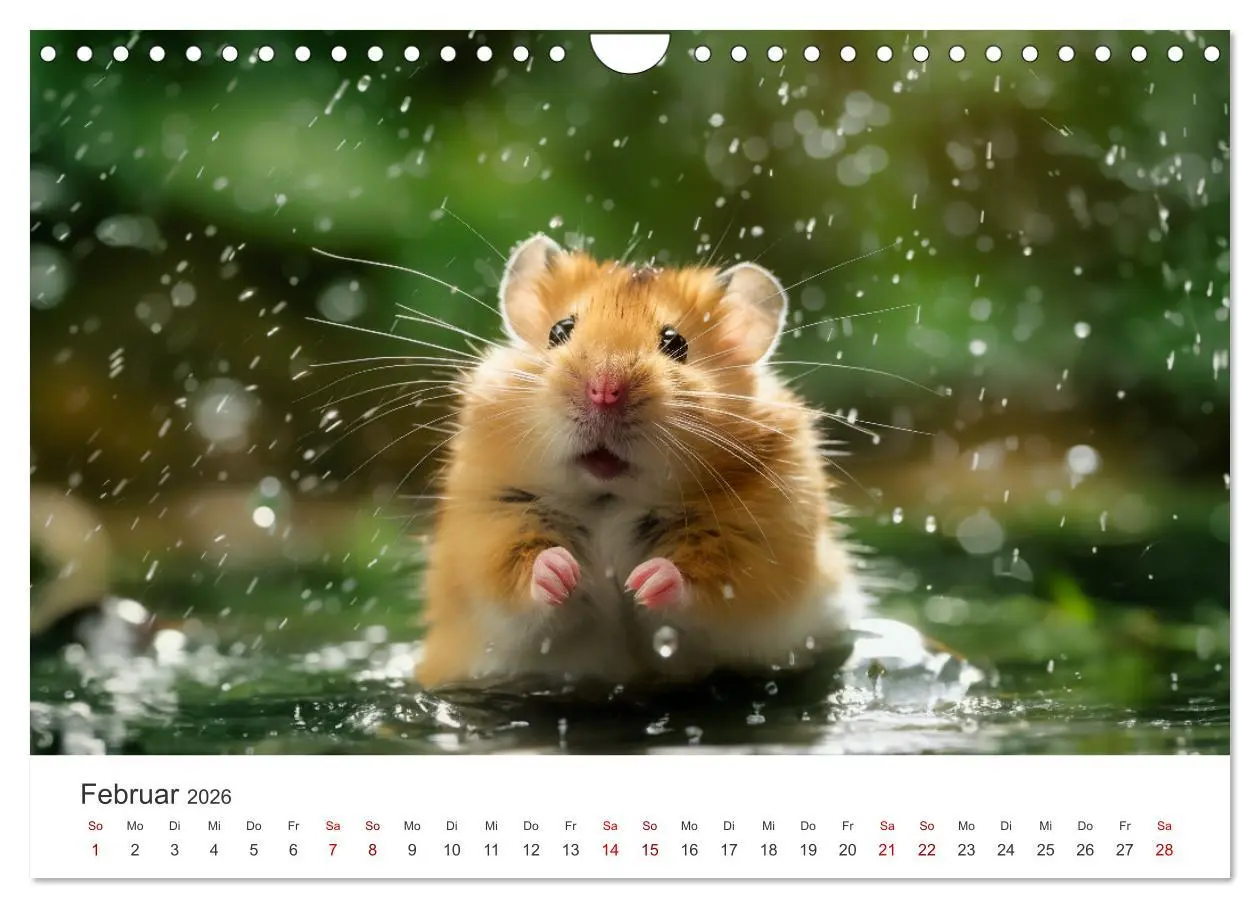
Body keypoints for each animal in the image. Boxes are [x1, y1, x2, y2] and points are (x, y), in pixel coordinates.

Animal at [414, 234, 866, 688]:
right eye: (560, 331)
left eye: (675, 343)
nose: (604, 391)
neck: (609, 498)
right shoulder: (491, 523)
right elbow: (516, 574)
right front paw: (564, 571)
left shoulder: (754, 546)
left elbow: (705, 581)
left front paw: (643, 583)